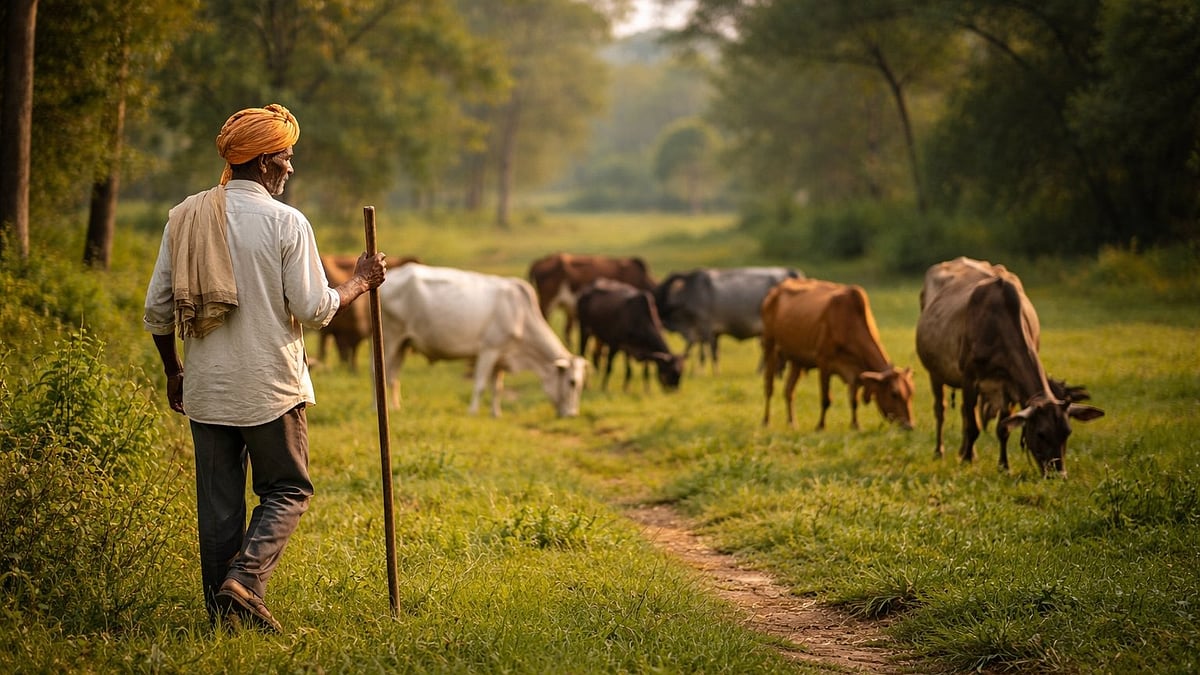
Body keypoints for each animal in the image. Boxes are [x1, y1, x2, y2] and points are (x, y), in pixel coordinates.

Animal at [377, 263, 588, 418]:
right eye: (572, 382)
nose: (573, 414)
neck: (520, 315)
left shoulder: (501, 357)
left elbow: (497, 388)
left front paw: (496, 413)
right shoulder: (489, 350)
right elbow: (479, 385)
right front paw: (472, 412)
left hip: (403, 343)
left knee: (393, 376)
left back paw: (395, 407)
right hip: (389, 339)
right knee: (379, 372)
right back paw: (377, 407)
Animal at [654, 266, 803, 373]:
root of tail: (791, 272)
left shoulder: (705, 327)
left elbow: (706, 354)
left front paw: (706, 373)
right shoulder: (710, 333)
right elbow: (712, 352)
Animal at [760, 278, 915, 430]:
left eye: (911, 392)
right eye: (894, 393)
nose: (909, 425)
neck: (849, 323)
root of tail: (777, 289)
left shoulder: (854, 371)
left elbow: (853, 400)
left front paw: (855, 425)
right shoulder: (823, 361)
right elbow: (826, 399)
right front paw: (820, 426)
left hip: (797, 359)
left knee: (789, 391)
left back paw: (792, 423)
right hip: (770, 345)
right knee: (769, 387)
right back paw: (766, 421)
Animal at [915, 257, 1104, 477]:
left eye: (1067, 432)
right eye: (1040, 434)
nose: (1058, 474)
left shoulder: (1009, 387)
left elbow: (1003, 428)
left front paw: (1003, 466)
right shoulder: (969, 378)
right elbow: (973, 427)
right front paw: (966, 461)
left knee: (964, 411)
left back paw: (966, 451)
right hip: (935, 371)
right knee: (941, 410)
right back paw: (941, 452)